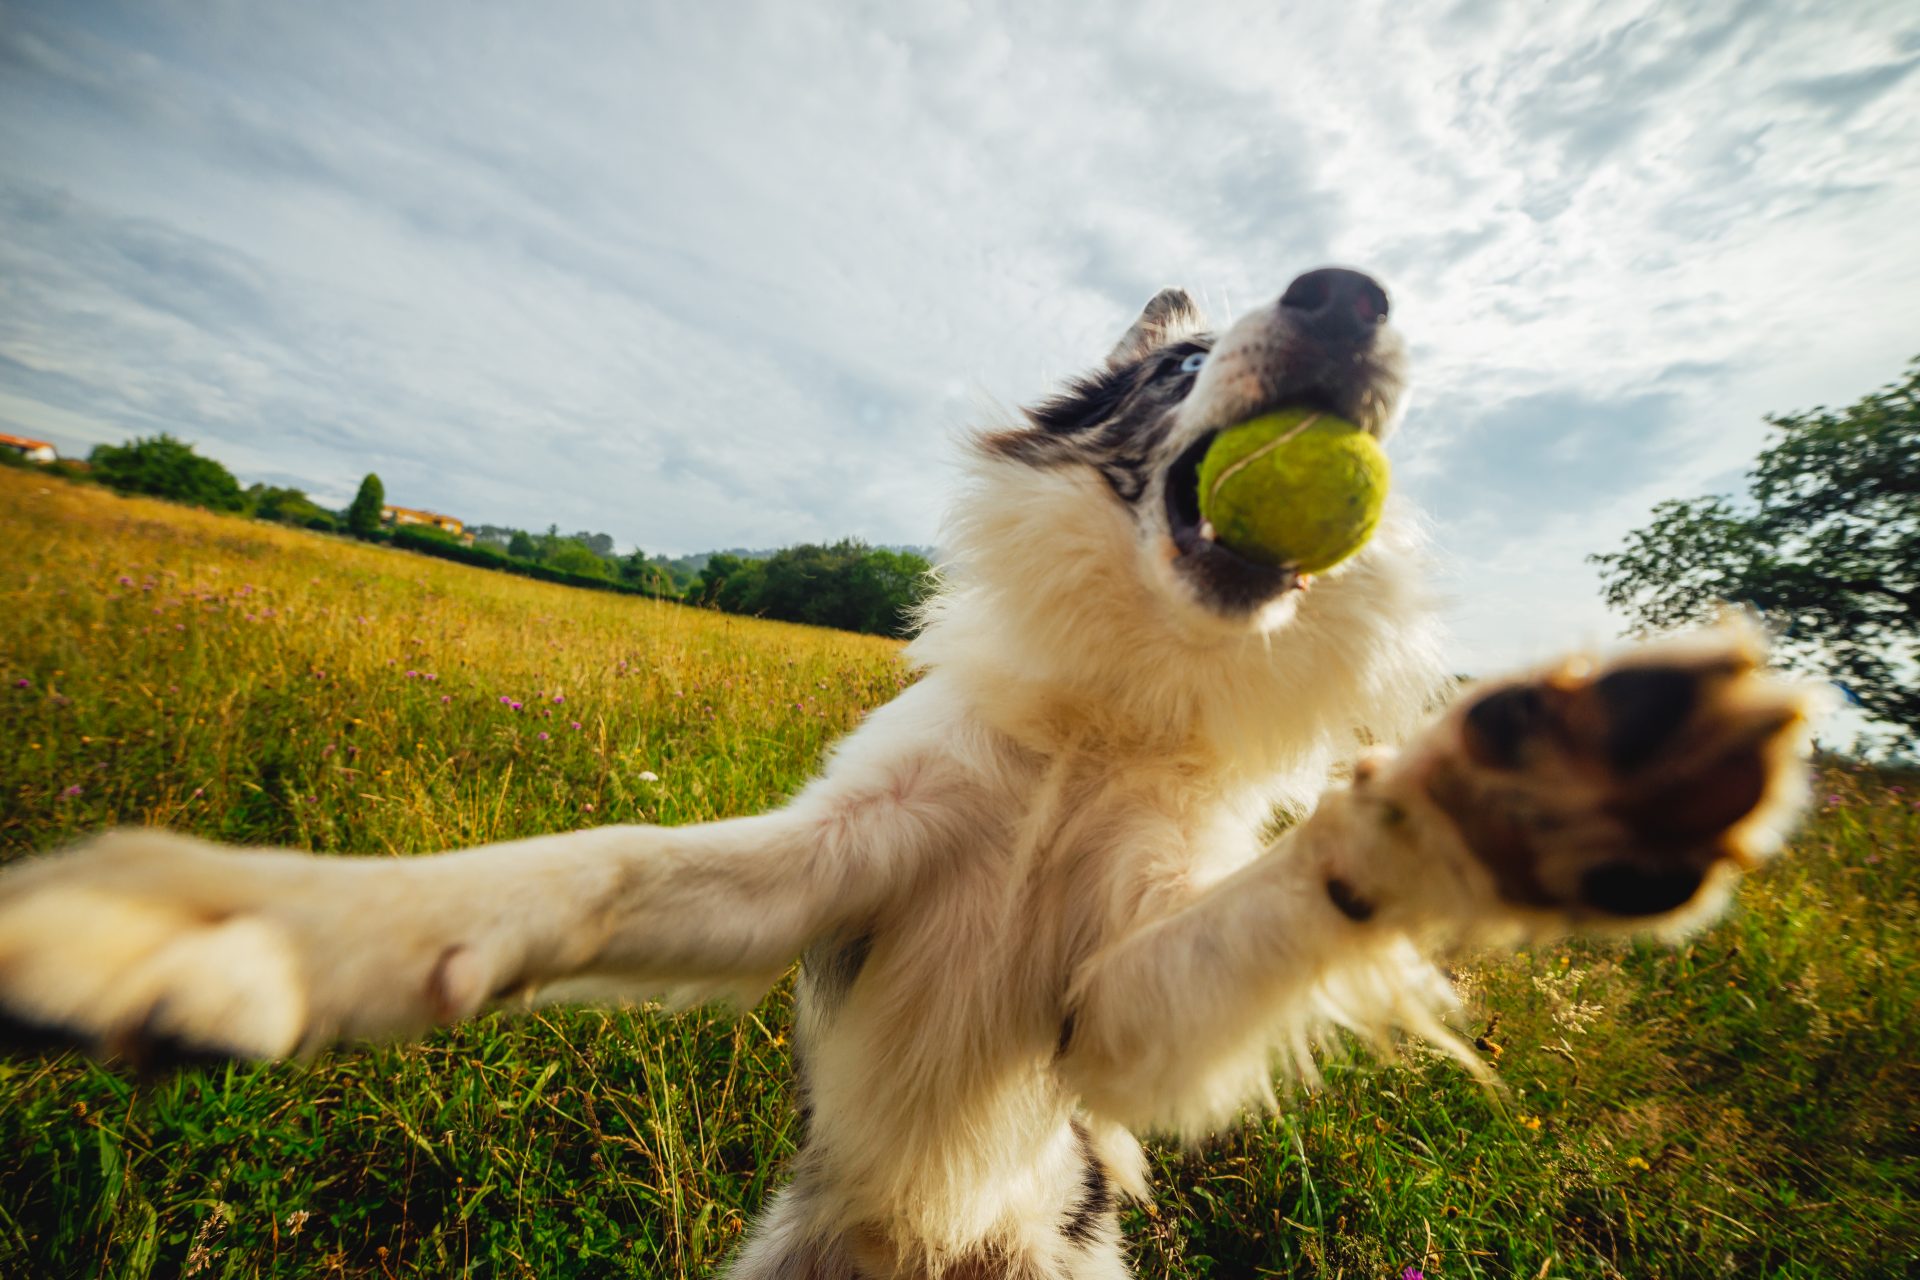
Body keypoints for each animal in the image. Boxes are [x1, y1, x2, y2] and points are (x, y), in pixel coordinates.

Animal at [0, 264, 1812, 1274]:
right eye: (1178, 365)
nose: (1351, 291)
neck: (1103, 720)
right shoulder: (828, 869)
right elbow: (590, 857)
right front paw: (240, 925)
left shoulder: (1120, 1007)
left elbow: (1295, 892)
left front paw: (1524, 794)